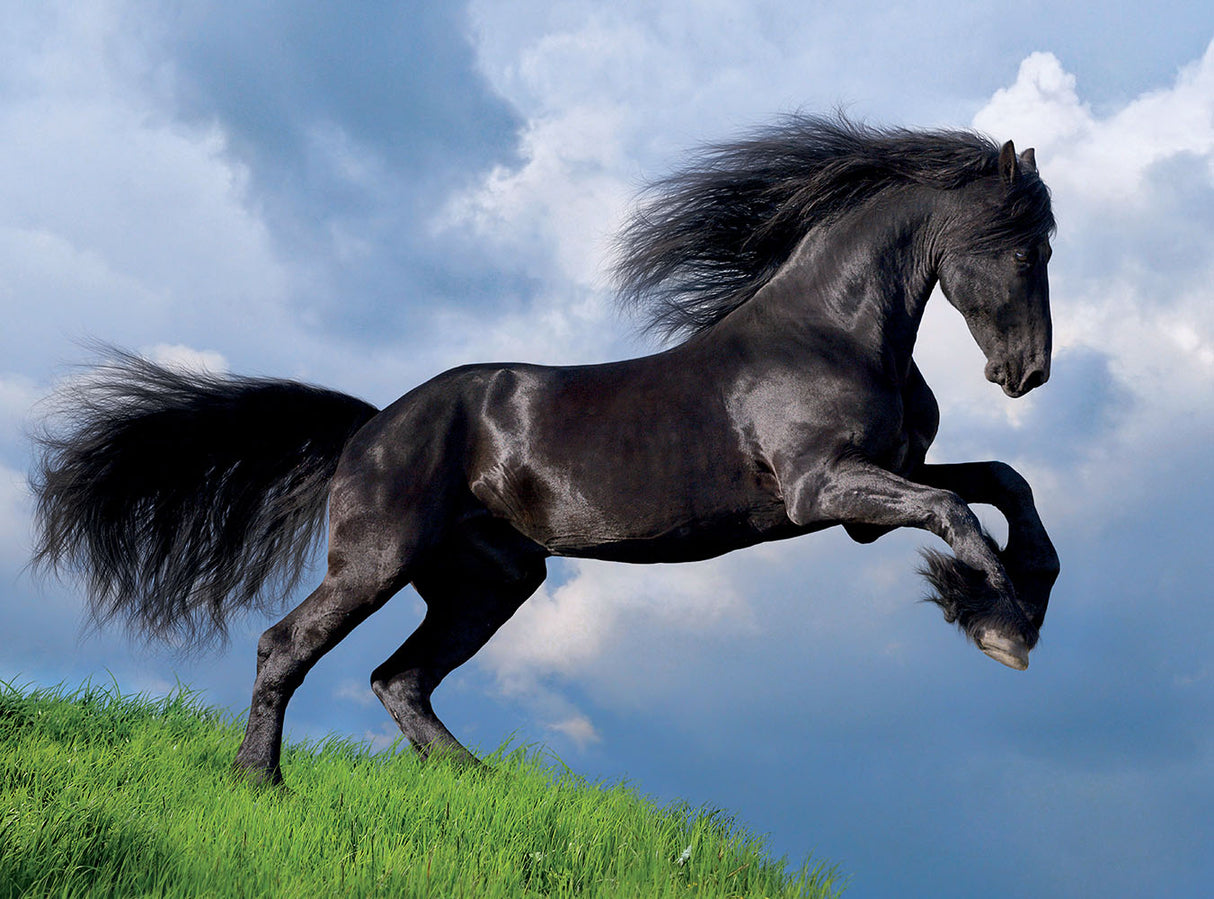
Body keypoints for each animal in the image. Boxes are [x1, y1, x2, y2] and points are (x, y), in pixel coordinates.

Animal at [31, 115, 1060, 787]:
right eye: (1024, 248)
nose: (1027, 373)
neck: (831, 333)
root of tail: (369, 428)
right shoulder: (825, 492)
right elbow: (958, 509)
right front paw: (1000, 626)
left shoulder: (872, 494)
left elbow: (1002, 484)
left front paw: (1023, 599)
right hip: (377, 558)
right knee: (289, 645)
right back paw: (258, 781)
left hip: (489, 579)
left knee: (399, 677)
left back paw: (480, 782)